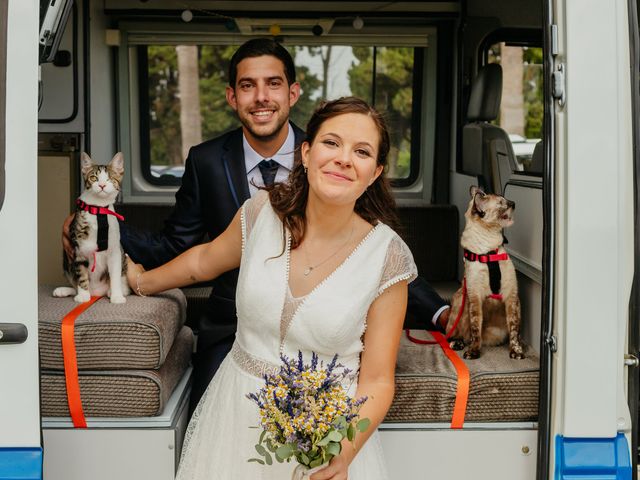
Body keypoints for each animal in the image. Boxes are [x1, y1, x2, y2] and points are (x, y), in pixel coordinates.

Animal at [52, 153, 130, 304]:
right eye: (94, 177)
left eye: (109, 178)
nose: (102, 185)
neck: (98, 210)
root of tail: (97, 293)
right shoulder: (78, 249)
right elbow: (81, 274)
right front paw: (83, 295)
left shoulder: (114, 249)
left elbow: (115, 274)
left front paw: (117, 296)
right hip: (66, 260)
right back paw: (66, 290)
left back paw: (114, 291)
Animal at [448, 186, 524, 358]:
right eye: (502, 203)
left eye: (506, 200)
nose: (514, 203)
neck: (488, 250)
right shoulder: (474, 296)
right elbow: (475, 328)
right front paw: (474, 352)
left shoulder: (511, 295)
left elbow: (514, 329)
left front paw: (516, 351)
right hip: (460, 298)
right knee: (460, 334)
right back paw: (458, 343)